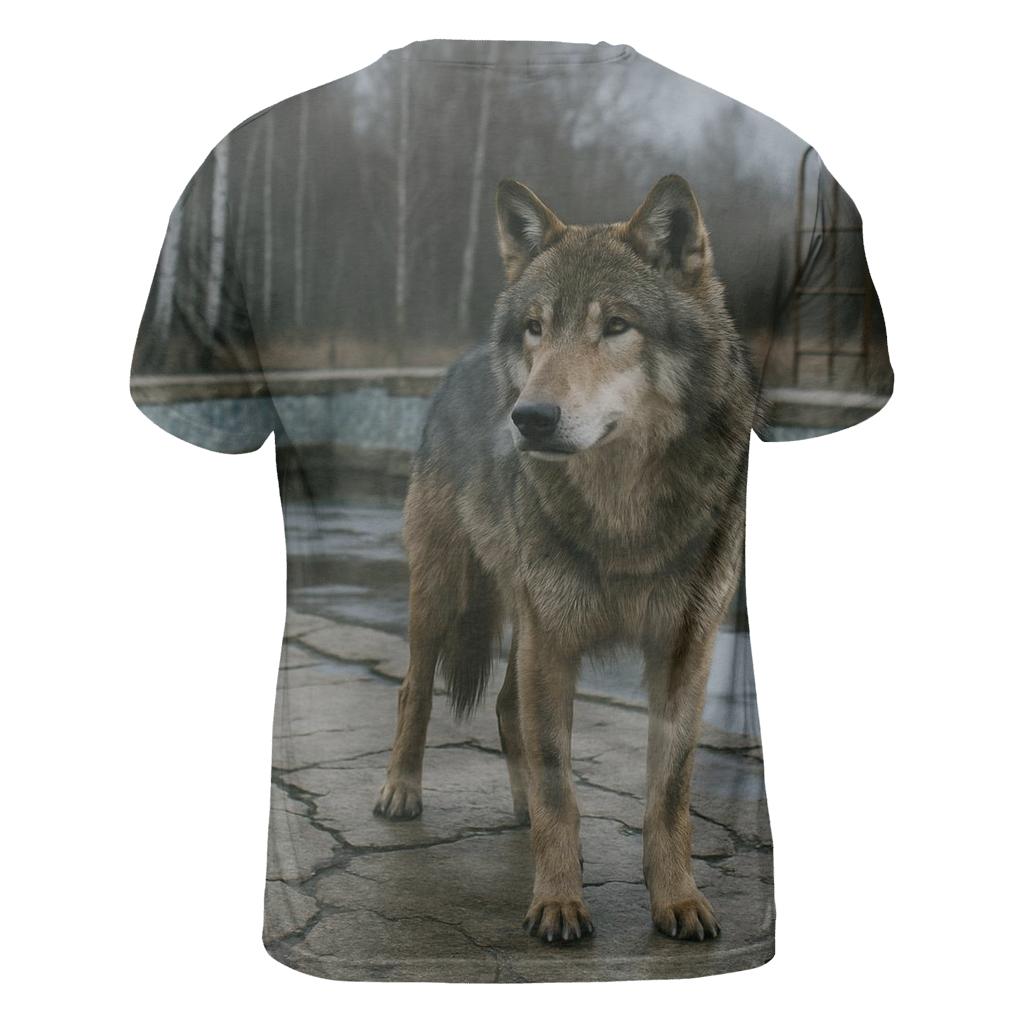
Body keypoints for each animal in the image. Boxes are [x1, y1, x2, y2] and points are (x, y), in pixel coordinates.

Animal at [373, 175, 757, 944]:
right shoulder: (554, 642)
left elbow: (669, 793)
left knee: (502, 708)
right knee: (414, 691)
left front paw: (678, 901)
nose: (530, 418)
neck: (624, 513)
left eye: (616, 326)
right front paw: (557, 902)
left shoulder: (685, 649)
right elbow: (559, 783)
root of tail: (460, 362)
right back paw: (401, 791)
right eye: (536, 328)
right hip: (444, 593)